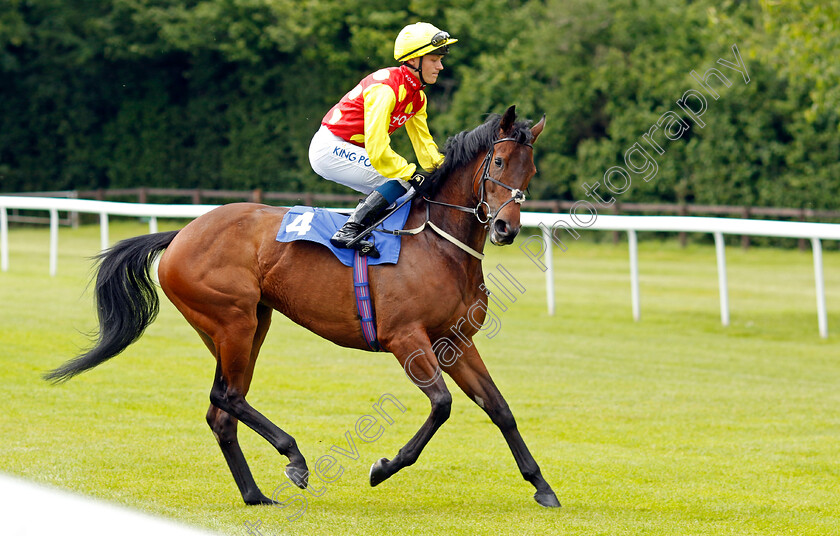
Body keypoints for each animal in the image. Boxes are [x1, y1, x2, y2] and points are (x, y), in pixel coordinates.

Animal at [44, 104, 556, 506]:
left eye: (530, 171)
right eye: (500, 161)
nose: (507, 228)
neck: (438, 243)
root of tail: (181, 234)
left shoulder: (455, 339)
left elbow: (499, 407)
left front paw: (542, 486)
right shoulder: (406, 337)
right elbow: (443, 405)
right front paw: (384, 466)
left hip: (248, 325)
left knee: (221, 409)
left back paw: (255, 494)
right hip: (232, 320)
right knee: (227, 397)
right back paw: (294, 457)